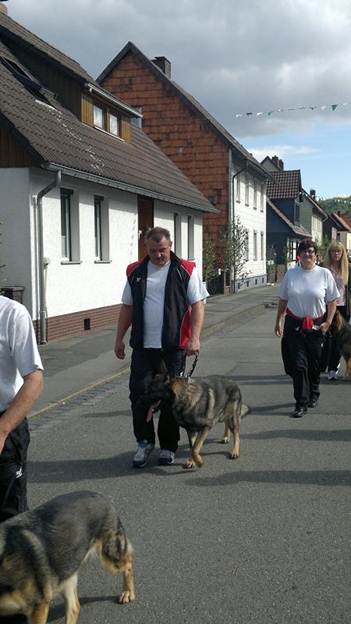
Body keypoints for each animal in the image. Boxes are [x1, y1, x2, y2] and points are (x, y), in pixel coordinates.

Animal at [0, 492, 135, 624]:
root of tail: (99, 495)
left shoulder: (38, 606)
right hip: (67, 569)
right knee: (75, 607)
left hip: (111, 556)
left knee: (128, 562)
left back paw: (128, 592)